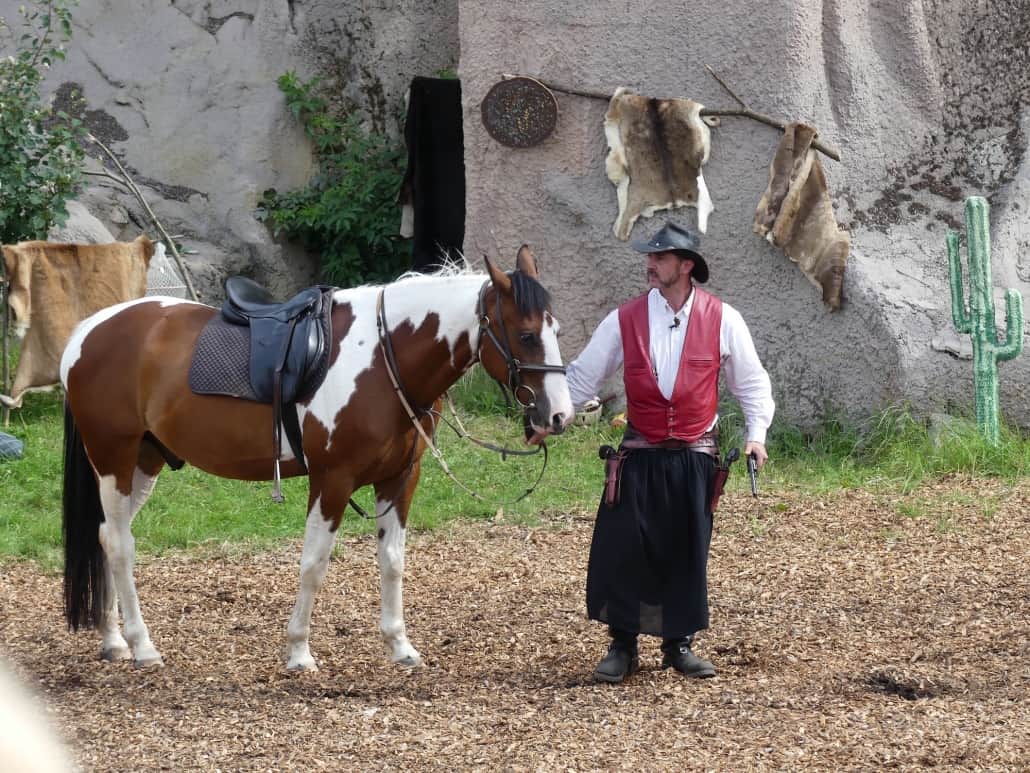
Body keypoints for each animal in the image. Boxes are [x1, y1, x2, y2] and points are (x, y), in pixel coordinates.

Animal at [61, 249, 572, 671]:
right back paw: (142, 645)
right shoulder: (333, 480)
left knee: (107, 537)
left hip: (143, 461)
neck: (384, 359)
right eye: (526, 334)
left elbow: (392, 561)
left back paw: (114, 641)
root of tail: (86, 332)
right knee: (121, 545)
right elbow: (314, 563)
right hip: (113, 457)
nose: (558, 416)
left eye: (556, 331)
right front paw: (299, 651)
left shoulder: (400, 479)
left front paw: (399, 646)